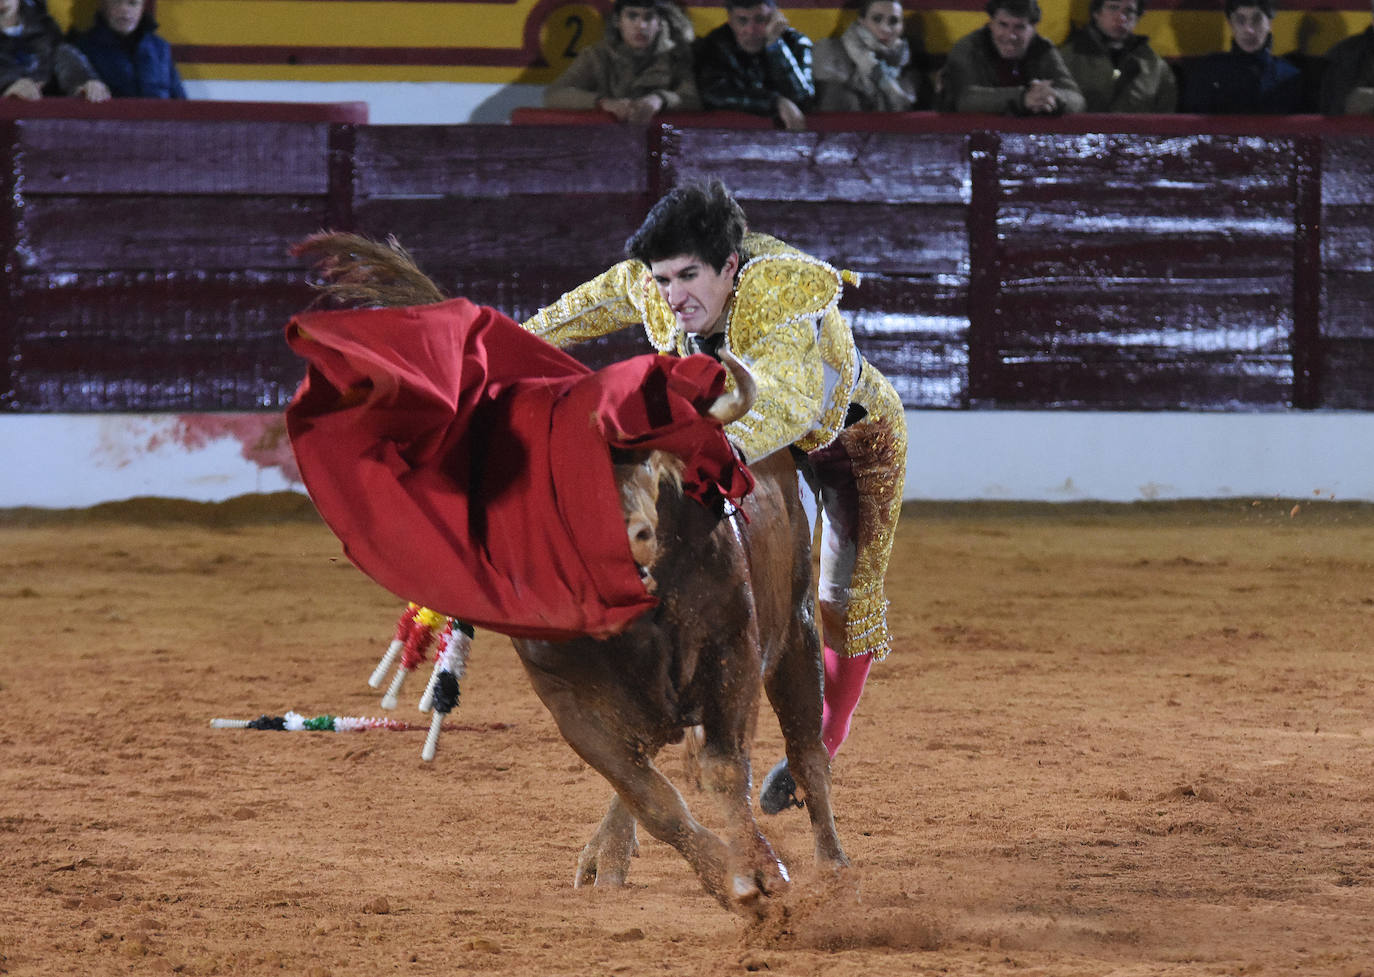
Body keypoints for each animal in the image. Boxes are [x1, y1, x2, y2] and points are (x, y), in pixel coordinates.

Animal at [289, 233, 846, 912]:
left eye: (649, 456)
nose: (625, 534)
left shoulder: (731, 651)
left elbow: (722, 767)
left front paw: (759, 871)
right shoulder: (569, 703)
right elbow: (650, 795)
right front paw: (723, 873)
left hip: (794, 629)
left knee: (806, 748)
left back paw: (833, 866)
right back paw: (609, 855)